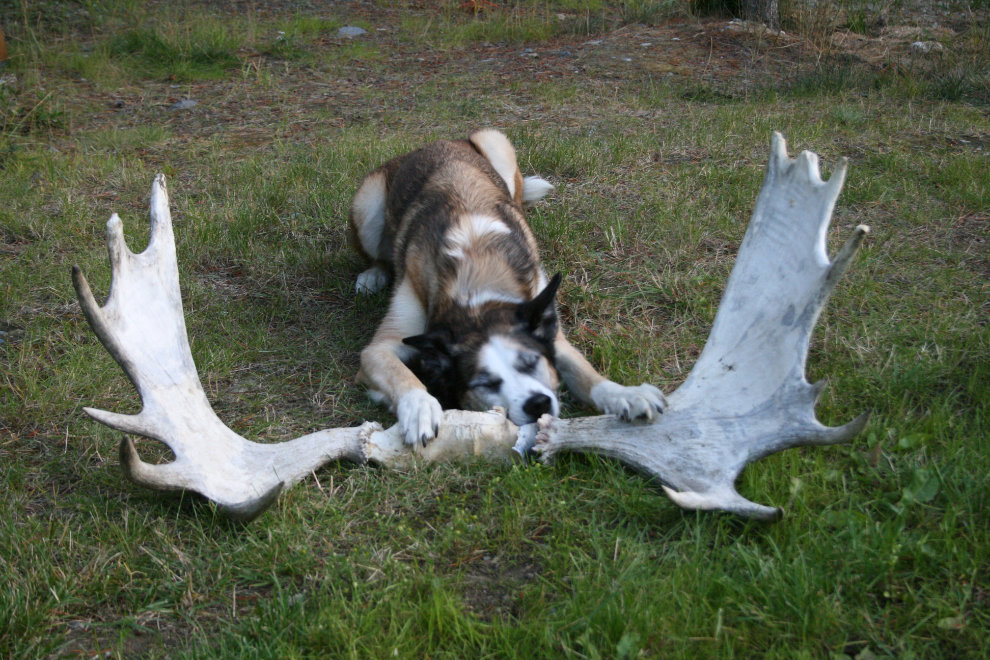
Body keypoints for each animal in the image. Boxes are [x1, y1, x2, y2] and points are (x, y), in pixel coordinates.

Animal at [348, 130, 668, 446]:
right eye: (486, 383)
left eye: (531, 362)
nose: (538, 404)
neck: (477, 279)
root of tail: (439, 142)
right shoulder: (378, 349)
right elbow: (401, 374)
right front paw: (420, 408)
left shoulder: (548, 326)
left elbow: (585, 372)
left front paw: (625, 394)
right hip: (367, 204)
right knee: (379, 255)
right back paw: (373, 275)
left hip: (493, 138)